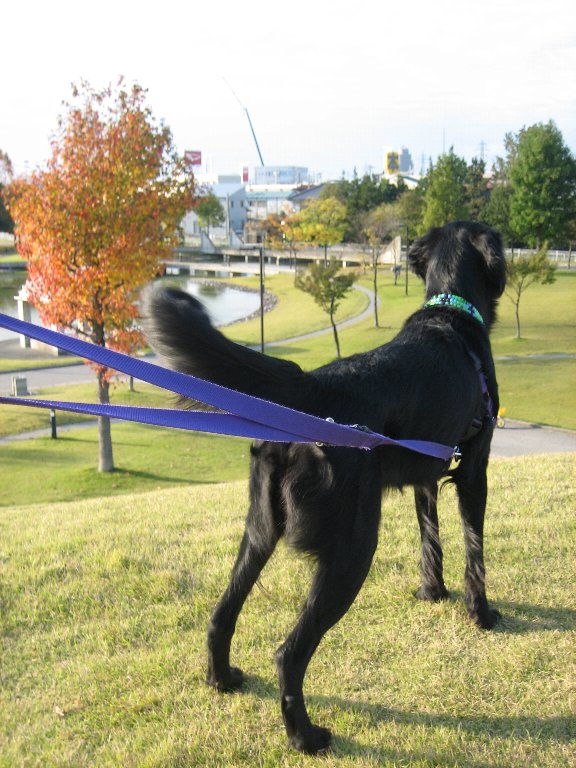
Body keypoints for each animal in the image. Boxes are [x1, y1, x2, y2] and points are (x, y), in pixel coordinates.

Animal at [143, 220, 507, 754]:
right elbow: (474, 550)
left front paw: (431, 593)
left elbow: (431, 542)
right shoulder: (473, 470)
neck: (451, 310)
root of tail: (312, 392)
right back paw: (306, 736)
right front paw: (480, 614)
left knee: (220, 615)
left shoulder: (425, 475)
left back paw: (222, 679)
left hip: (260, 531)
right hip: (352, 549)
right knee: (288, 654)